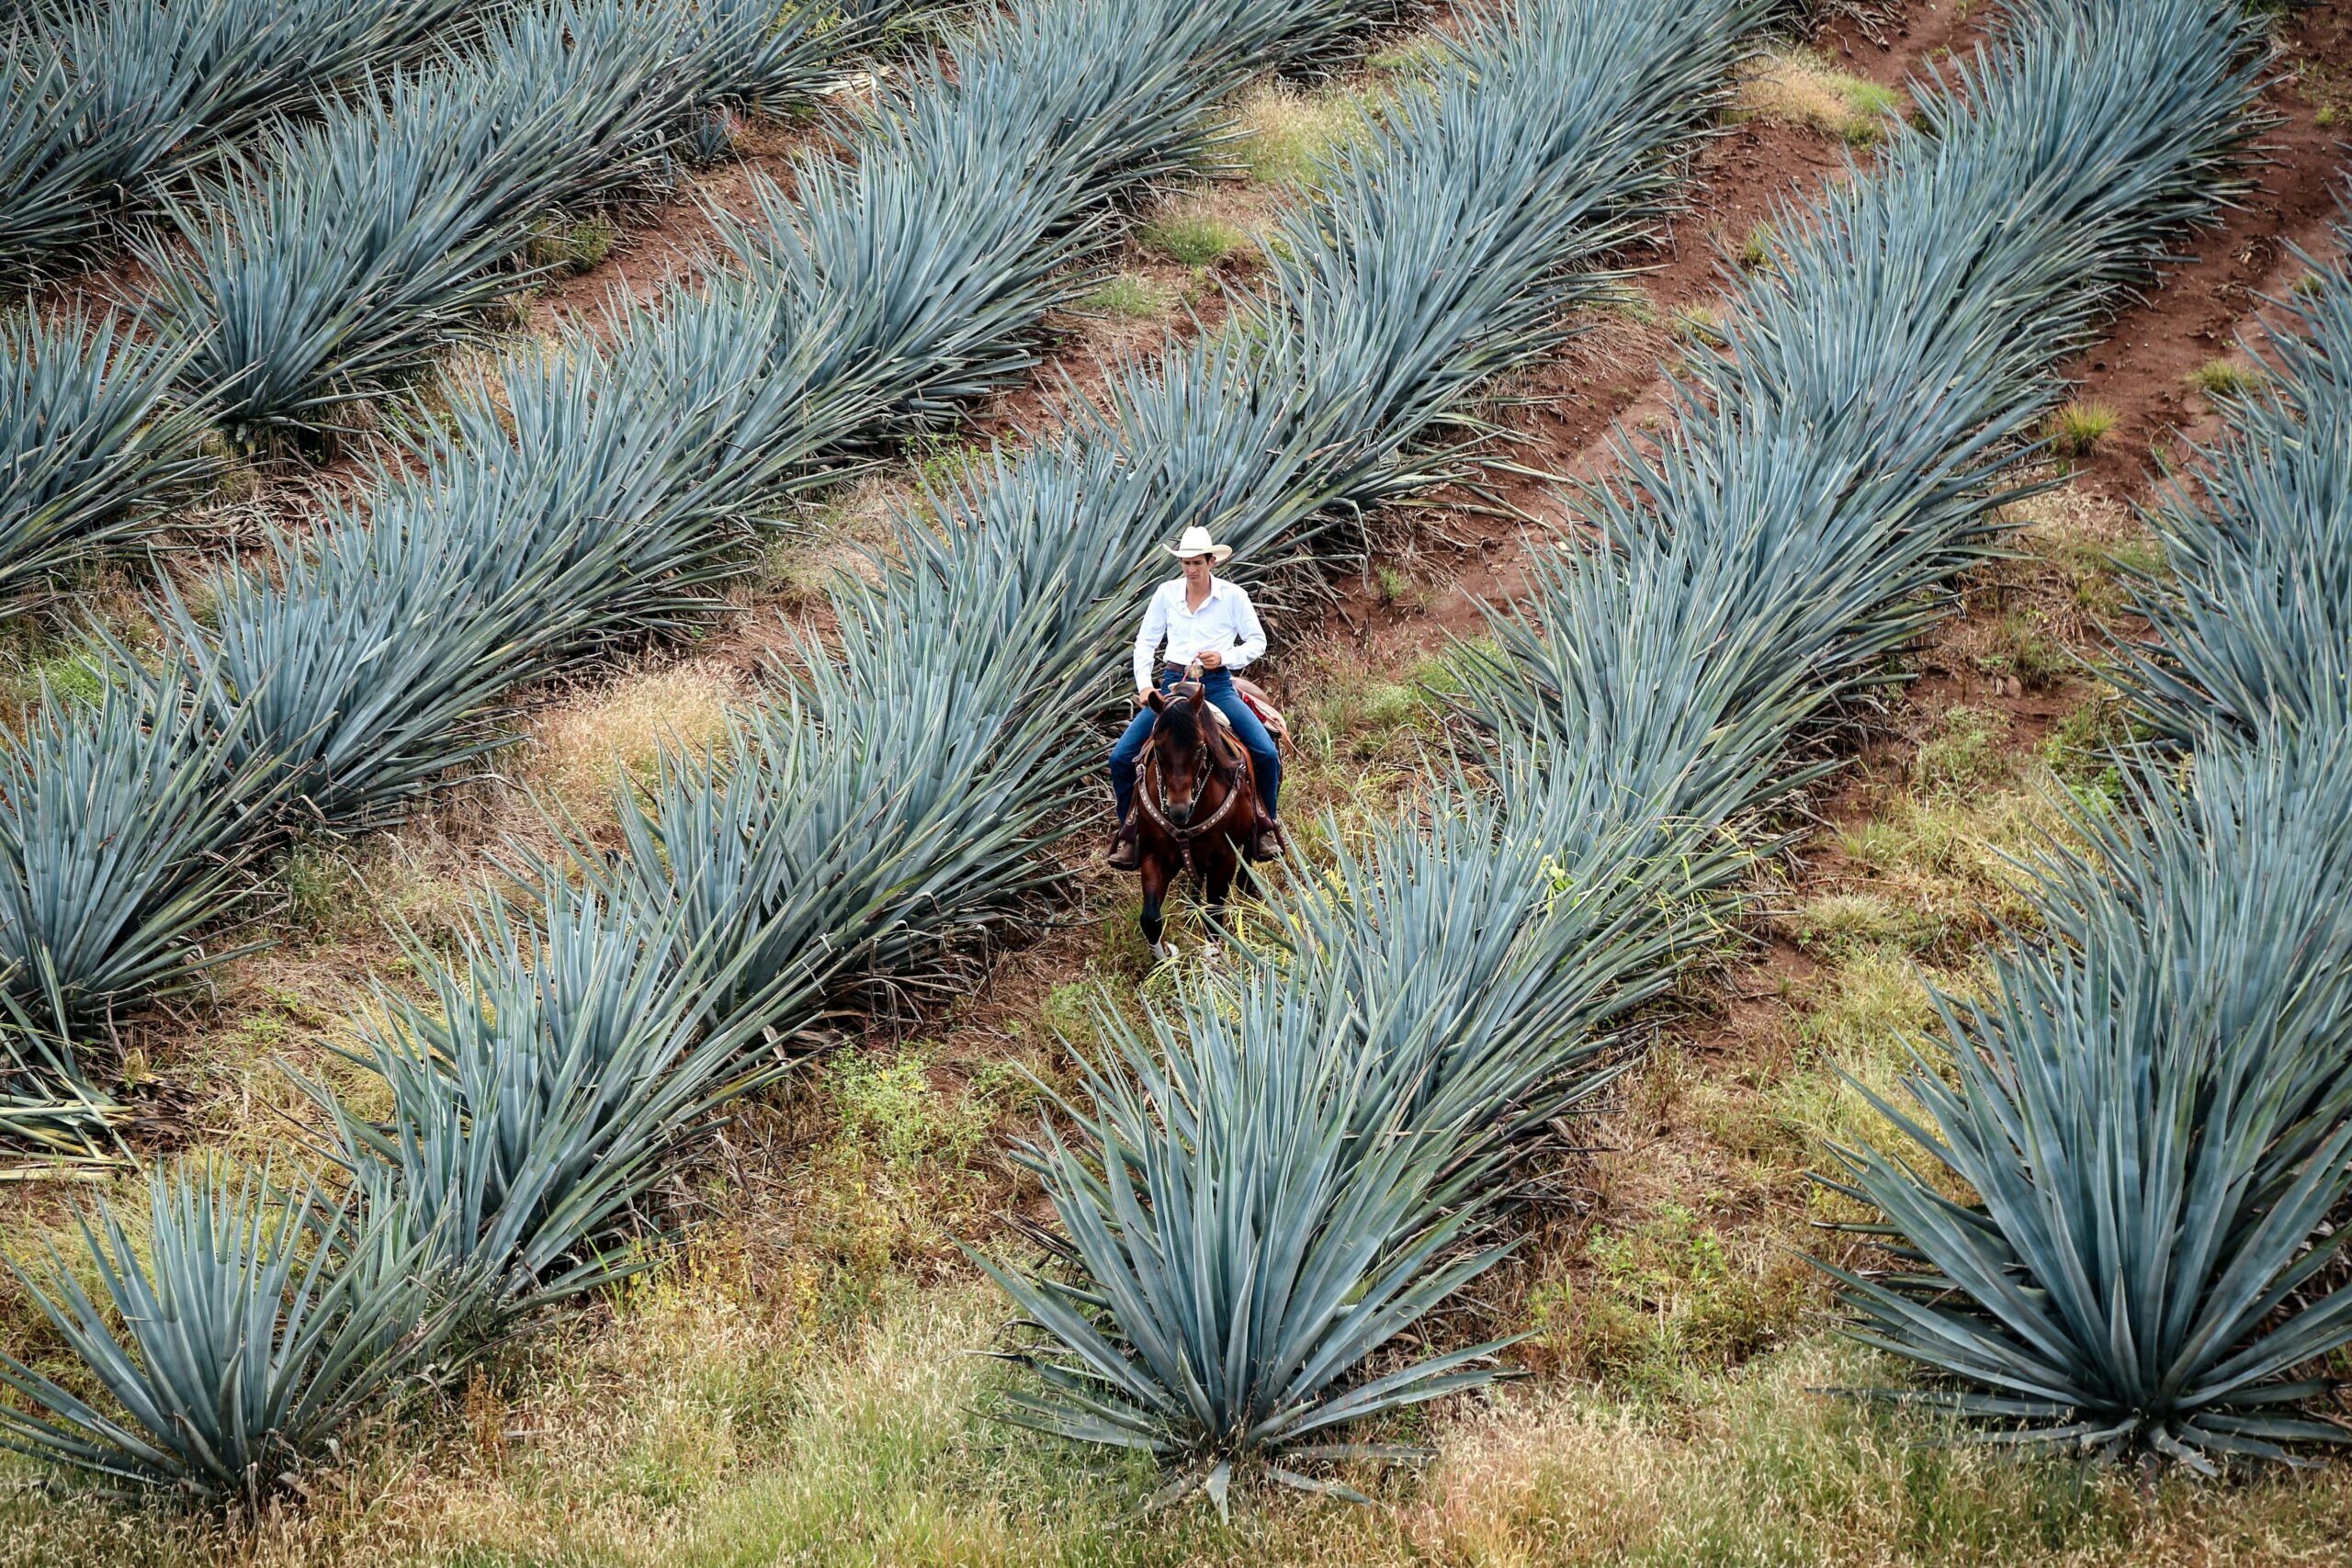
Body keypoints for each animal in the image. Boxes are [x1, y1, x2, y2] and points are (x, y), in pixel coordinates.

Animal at [1128, 682, 1261, 964]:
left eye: (1200, 747)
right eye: (1158, 748)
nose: (1178, 810)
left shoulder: (1225, 859)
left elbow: (1214, 919)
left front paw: (1214, 962)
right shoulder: (1154, 855)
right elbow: (1150, 919)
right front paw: (1165, 963)